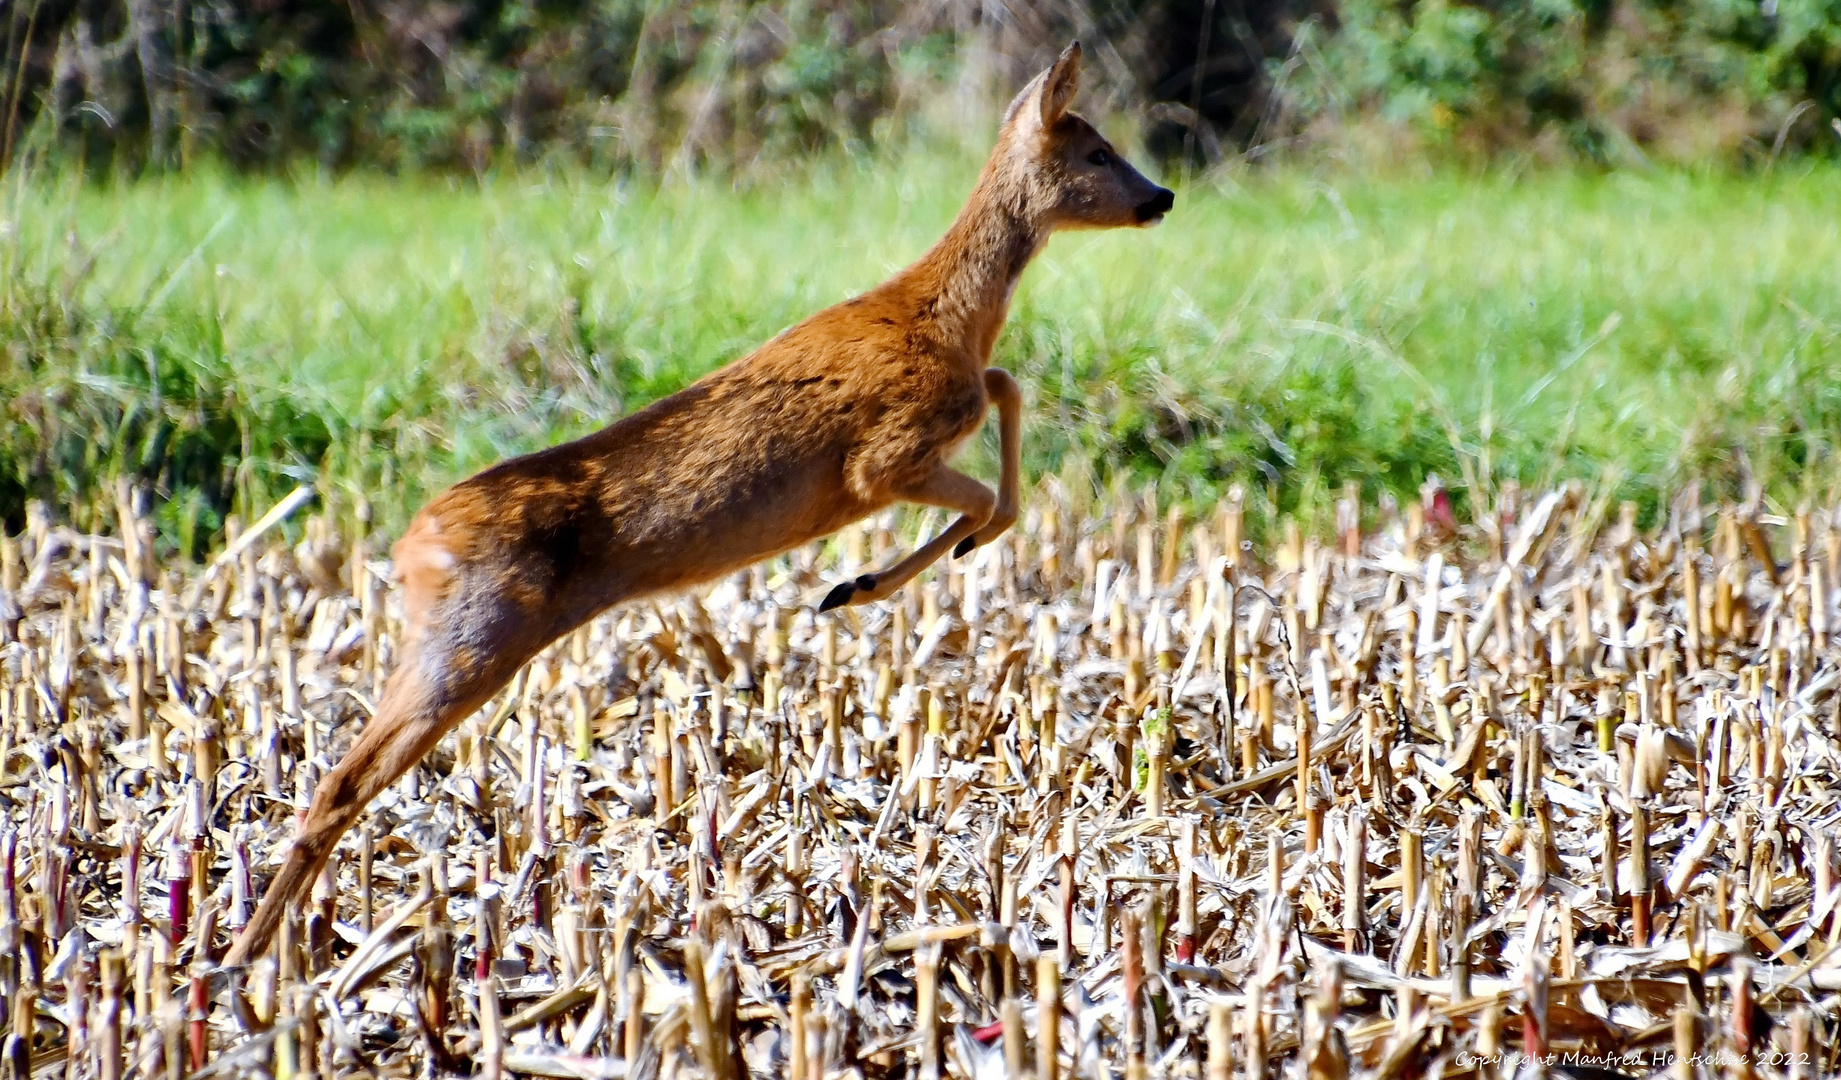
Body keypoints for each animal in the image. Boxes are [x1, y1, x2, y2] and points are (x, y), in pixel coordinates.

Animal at [226, 44, 1163, 971]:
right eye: (1095, 153)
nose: (1162, 197)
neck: (944, 314)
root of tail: (410, 546)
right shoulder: (880, 457)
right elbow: (988, 495)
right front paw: (858, 585)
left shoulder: (936, 420)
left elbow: (1007, 389)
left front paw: (861, 583)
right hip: (475, 635)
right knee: (344, 778)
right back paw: (245, 955)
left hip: (440, 636)